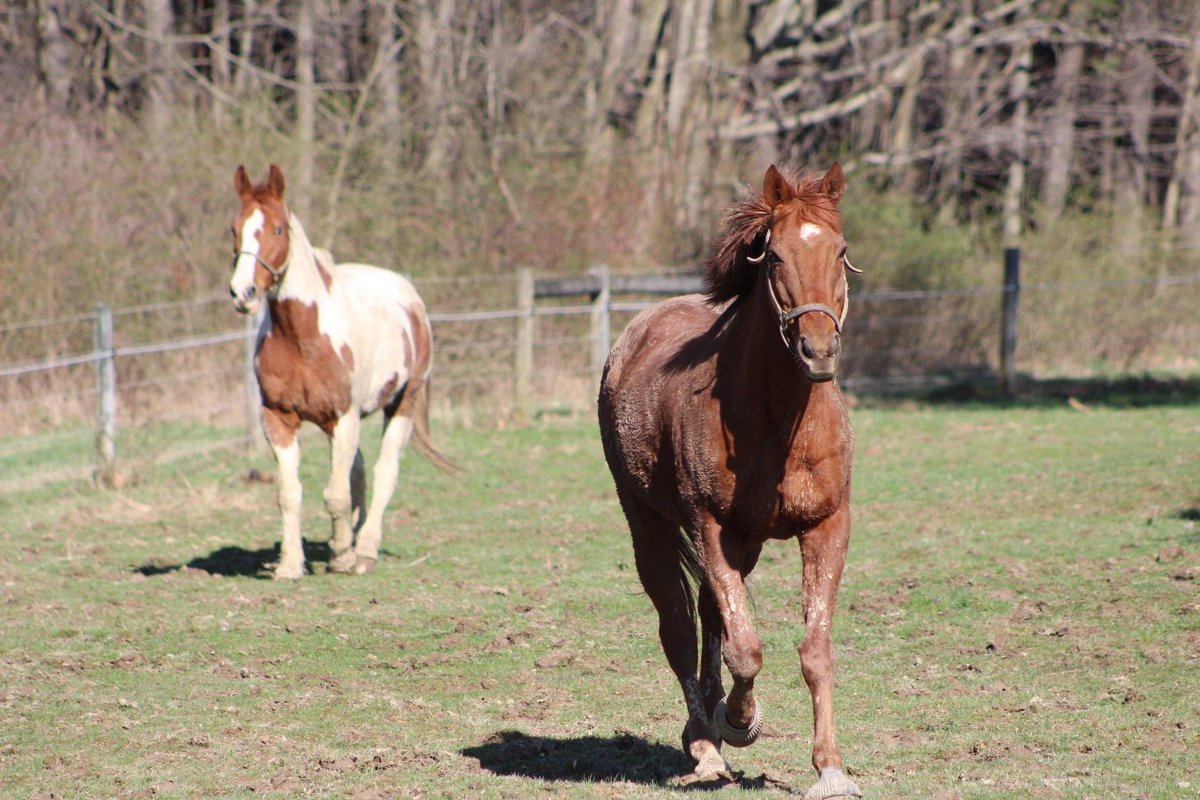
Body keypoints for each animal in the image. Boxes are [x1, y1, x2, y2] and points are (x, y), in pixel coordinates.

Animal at [229, 164, 453, 580]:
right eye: (234, 228)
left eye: (277, 230)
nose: (243, 293)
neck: (303, 336)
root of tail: (409, 296)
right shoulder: (279, 419)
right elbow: (290, 494)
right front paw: (291, 564)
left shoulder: (344, 416)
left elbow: (335, 494)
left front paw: (345, 556)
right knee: (358, 472)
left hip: (401, 404)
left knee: (383, 472)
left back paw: (363, 550)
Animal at [598, 164, 862, 798]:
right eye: (775, 256)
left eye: (841, 252)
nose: (818, 348)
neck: (778, 421)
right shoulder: (709, 527)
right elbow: (746, 650)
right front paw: (740, 723)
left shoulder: (826, 526)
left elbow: (815, 650)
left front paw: (831, 768)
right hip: (651, 525)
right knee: (679, 625)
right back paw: (705, 744)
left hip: (746, 542)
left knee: (712, 614)